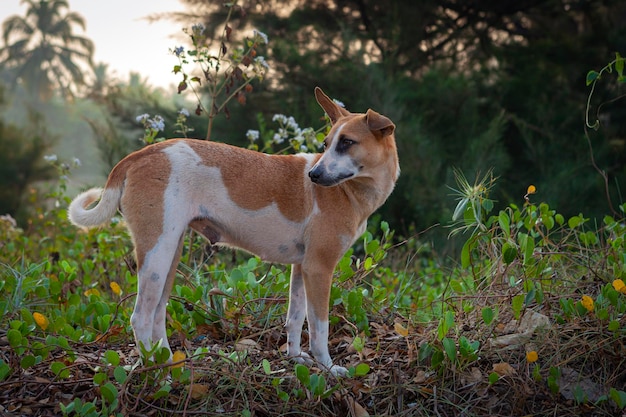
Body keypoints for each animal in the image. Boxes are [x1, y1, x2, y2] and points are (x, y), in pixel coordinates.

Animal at [68, 87, 398, 374]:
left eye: (347, 143)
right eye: (326, 144)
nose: (313, 175)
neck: (350, 191)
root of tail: (139, 155)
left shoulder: (302, 268)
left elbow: (295, 317)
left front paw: (294, 358)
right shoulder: (319, 268)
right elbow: (319, 328)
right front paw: (328, 368)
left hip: (168, 253)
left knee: (158, 313)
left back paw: (168, 363)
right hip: (156, 255)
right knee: (140, 317)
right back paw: (155, 373)